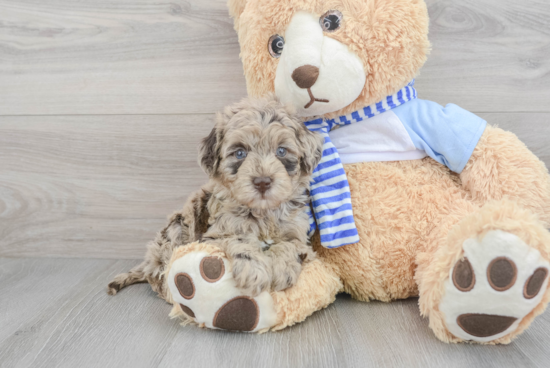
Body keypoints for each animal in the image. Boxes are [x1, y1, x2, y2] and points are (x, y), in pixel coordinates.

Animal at [107, 95, 324, 300]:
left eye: (281, 151)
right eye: (240, 153)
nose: (262, 182)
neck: (263, 212)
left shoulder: (298, 235)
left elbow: (289, 244)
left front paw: (282, 268)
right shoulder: (214, 236)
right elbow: (239, 240)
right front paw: (253, 270)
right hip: (175, 230)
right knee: (160, 274)